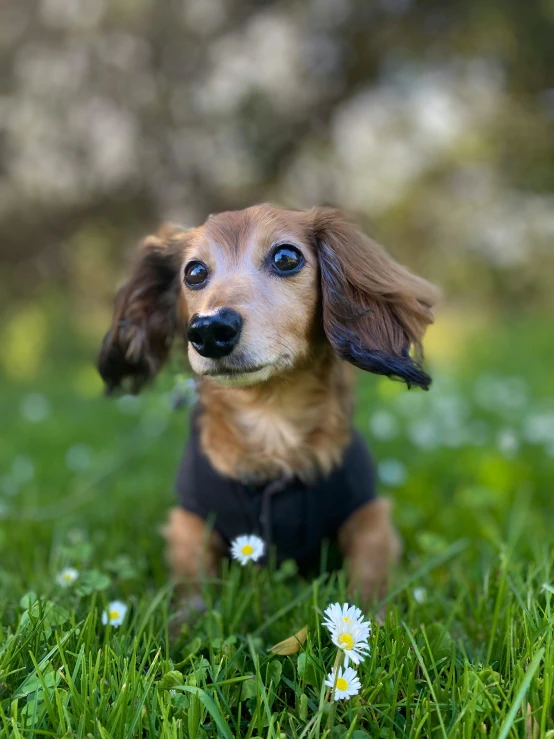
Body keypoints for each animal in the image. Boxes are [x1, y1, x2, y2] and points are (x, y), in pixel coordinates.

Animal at [97, 202, 438, 600]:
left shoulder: (369, 513)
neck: (270, 418)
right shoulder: (190, 520)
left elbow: (368, 578)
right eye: (194, 272)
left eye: (286, 257)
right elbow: (193, 584)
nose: (209, 329)